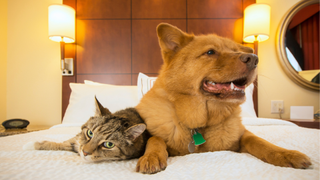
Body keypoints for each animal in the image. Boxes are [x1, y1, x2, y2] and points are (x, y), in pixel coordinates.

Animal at [136, 23, 312, 174]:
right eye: (210, 52)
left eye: (235, 50)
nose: (254, 58)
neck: (199, 126)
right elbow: (155, 139)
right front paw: (151, 156)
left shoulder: (242, 136)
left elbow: (260, 142)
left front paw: (286, 154)